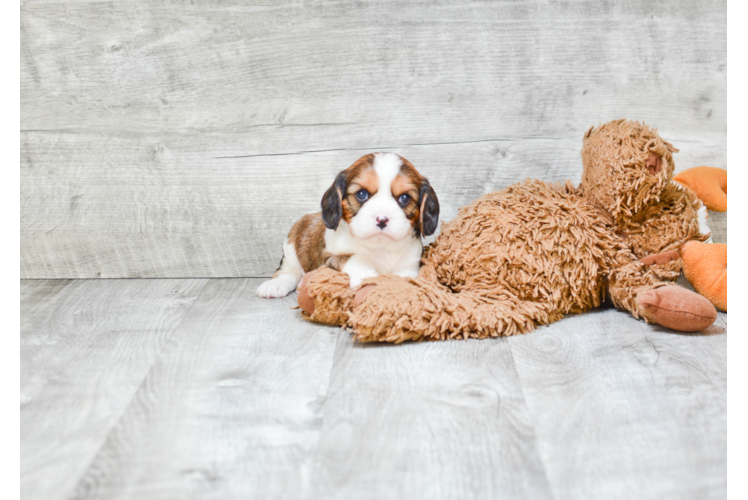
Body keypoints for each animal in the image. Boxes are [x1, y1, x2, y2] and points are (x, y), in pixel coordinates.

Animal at [258, 152, 438, 296]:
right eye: (362, 194)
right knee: (288, 271)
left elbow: (401, 276)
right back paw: (276, 284)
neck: (380, 247)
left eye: (404, 198)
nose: (382, 219)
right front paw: (366, 274)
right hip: (292, 246)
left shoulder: (410, 265)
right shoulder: (329, 256)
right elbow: (354, 256)